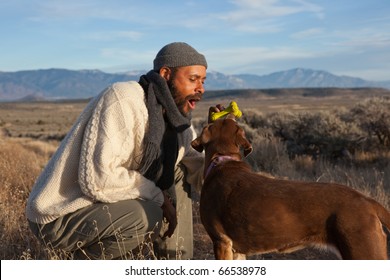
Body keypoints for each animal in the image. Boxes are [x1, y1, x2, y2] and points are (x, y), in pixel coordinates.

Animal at [191, 114, 390, 260]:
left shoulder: (221, 242)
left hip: (363, 250)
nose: (228, 112)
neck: (223, 160)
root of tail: (368, 201)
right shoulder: (237, 250)